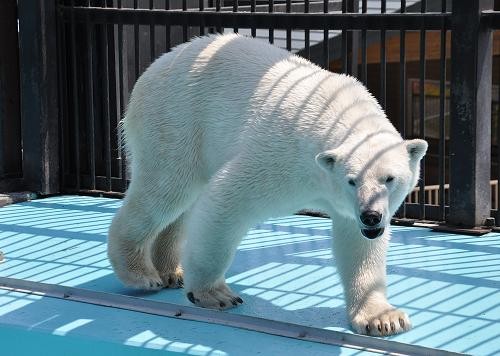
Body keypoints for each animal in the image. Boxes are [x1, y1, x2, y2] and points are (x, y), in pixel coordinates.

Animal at [107, 34, 428, 336]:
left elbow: (356, 243)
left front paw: (383, 318)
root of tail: (155, 66)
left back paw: (172, 271)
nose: (371, 217)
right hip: (175, 121)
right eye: (352, 180)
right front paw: (214, 293)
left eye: (389, 179)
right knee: (166, 188)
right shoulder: (283, 154)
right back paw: (141, 273)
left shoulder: (350, 207)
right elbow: (227, 199)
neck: (338, 113)